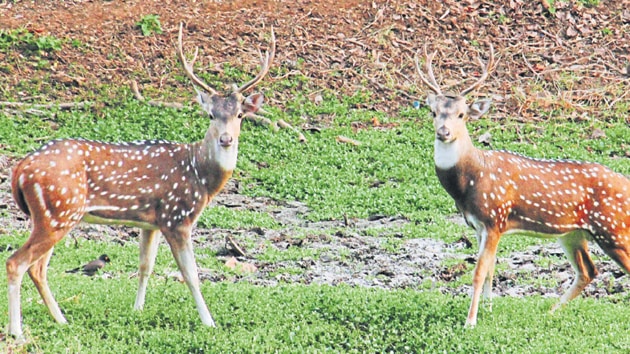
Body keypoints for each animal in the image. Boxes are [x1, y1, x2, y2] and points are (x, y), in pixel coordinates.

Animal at [6, 22, 276, 338]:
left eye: (240, 115)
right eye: (210, 115)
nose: (226, 139)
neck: (201, 176)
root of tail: (20, 169)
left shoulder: (152, 222)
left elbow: (146, 265)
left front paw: (137, 310)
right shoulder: (177, 217)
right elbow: (191, 274)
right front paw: (209, 322)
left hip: (53, 216)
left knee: (37, 268)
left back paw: (61, 320)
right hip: (58, 211)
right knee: (16, 263)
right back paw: (17, 331)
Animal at [420, 43, 630, 326]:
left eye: (462, 114)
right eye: (433, 112)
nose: (443, 132)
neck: (470, 182)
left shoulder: (494, 217)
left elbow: (479, 272)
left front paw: (470, 322)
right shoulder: (479, 226)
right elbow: (491, 269)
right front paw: (489, 311)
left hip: (612, 227)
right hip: (573, 233)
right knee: (588, 270)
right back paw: (550, 311)